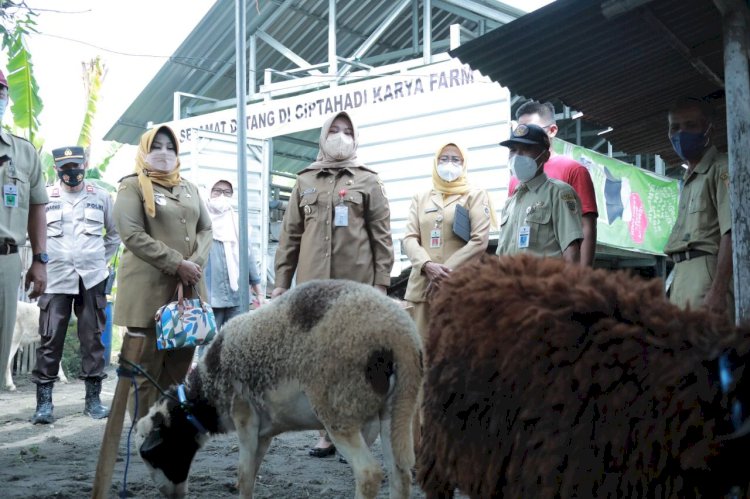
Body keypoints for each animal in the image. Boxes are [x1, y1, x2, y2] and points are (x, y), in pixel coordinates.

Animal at [137, 282, 424, 499]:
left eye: (153, 454)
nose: (169, 495)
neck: (208, 390)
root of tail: (401, 337)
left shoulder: (244, 417)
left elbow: (243, 475)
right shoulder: (265, 431)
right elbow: (251, 473)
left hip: (338, 407)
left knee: (369, 473)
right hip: (394, 410)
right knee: (399, 474)